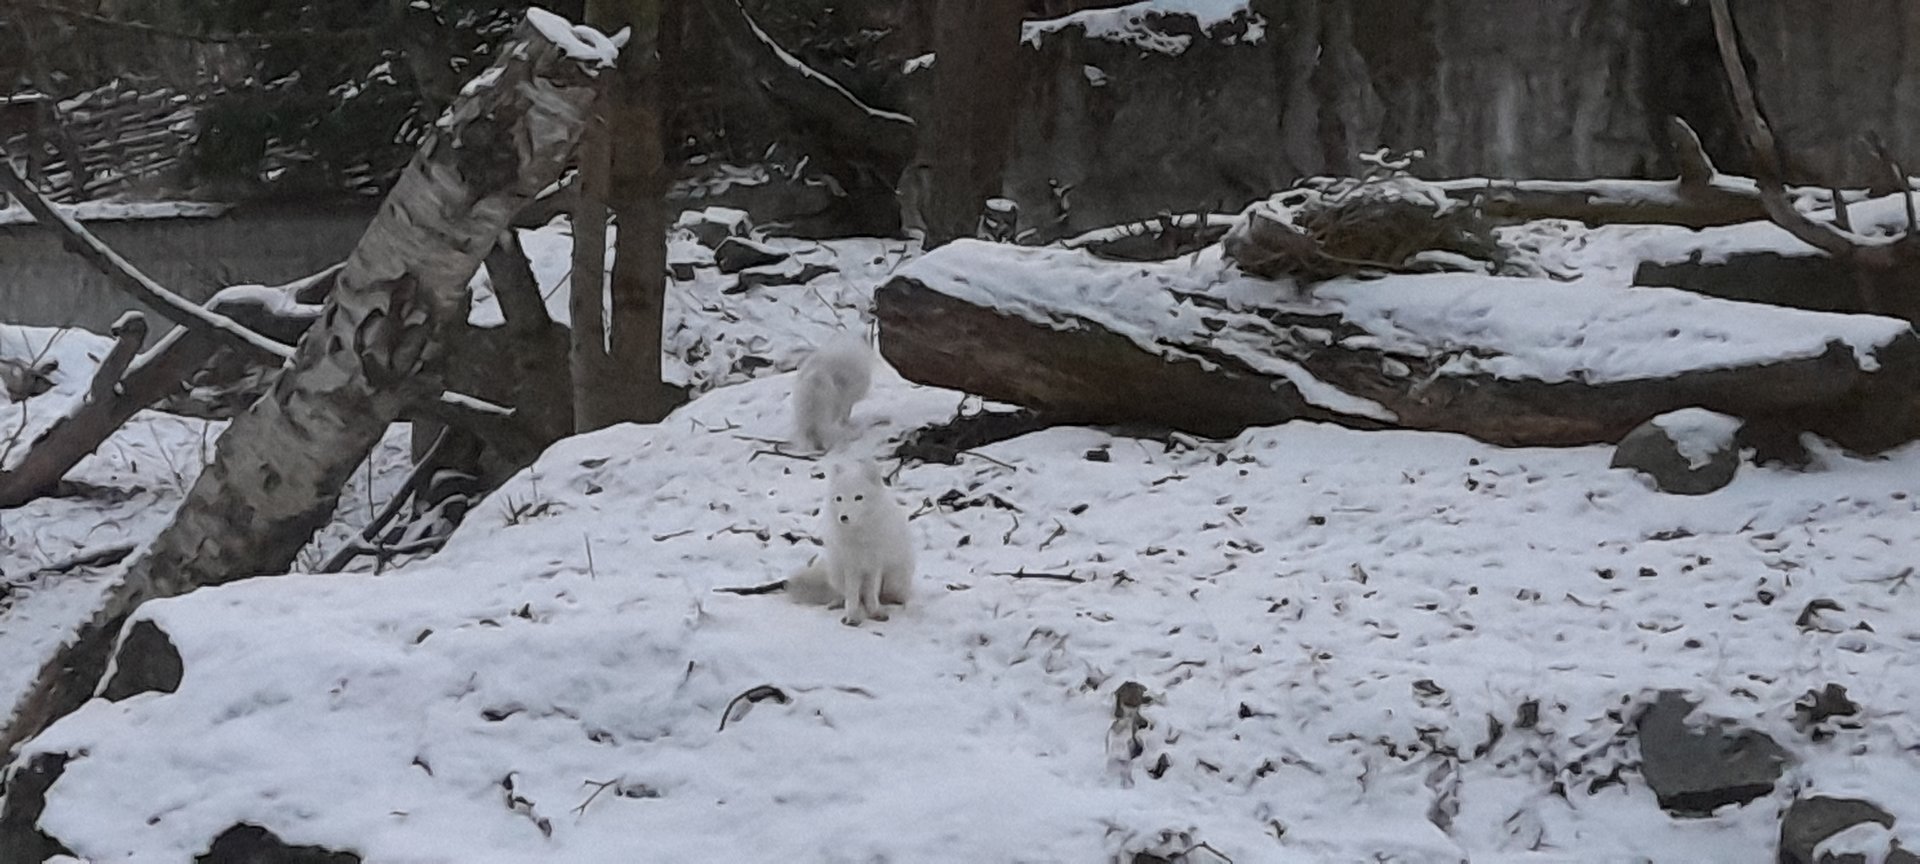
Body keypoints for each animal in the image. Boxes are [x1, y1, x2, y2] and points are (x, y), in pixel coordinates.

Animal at [786, 458, 915, 626]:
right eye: (839, 498)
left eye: (858, 497)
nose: (843, 517)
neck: (859, 536)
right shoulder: (851, 566)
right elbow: (853, 595)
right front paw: (852, 615)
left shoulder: (874, 565)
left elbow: (871, 593)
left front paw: (874, 611)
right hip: (836, 572)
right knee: (846, 594)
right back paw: (837, 603)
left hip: (895, 579)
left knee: (886, 595)